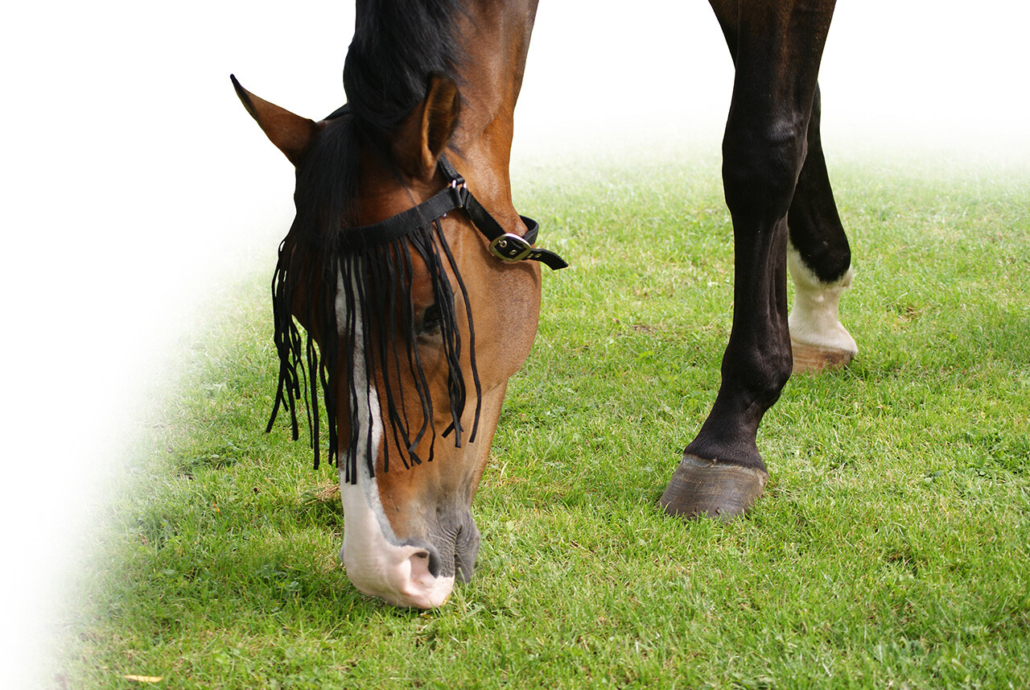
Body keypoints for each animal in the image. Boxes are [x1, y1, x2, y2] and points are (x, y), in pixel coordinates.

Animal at [232, 0, 855, 609]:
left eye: (431, 314)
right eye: (303, 315)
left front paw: (731, 435)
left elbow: (764, 150)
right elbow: (803, 115)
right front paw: (820, 301)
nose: (383, 568)